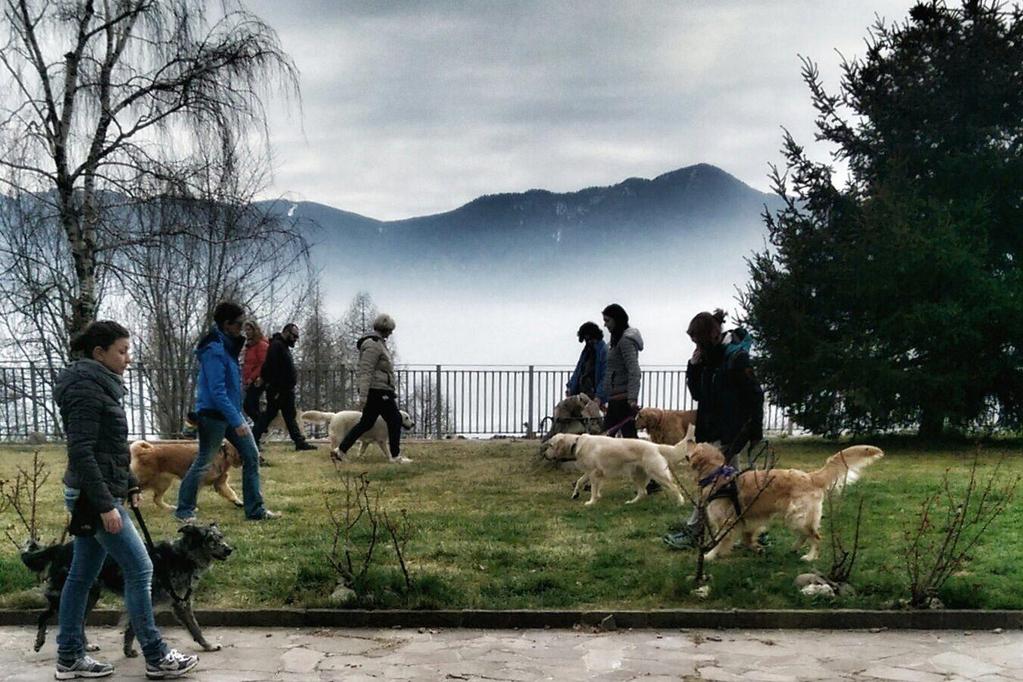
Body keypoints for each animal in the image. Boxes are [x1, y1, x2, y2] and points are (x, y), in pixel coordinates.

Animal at [21, 523, 232, 654]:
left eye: (221, 537)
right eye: (211, 539)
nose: (230, 549)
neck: (183, 556)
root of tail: (60, 548)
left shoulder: (180, 603)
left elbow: (195, 629)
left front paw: (207, 646)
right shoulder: (152, 598)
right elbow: (134, 627)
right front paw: (129, 650)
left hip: (90, 595)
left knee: (78, 622)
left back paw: (86, 647)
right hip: (70, 594)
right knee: (44, 616)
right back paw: (39, 642)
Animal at [544, 435, 687, 509]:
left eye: (550, 445)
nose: (544, 455)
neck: (576, 443)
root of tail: (656, 446)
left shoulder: (594, 473)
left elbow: (593, 490)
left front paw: (591, 502)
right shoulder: (590, 472)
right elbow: (579, 482)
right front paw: (575, 494)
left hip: (657, 474)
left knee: (675, 487)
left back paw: (681, 502)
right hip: (636, 475)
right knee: (643, 492)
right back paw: (631, 503)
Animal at [679, 429, 879, 564]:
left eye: (696, 445)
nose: (690, 438)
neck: (717, 476)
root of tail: (811, 476)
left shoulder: (726, 522)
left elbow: (719, 542)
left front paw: (709, 555)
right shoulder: (746, 519)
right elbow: (747, 536)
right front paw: (755, 547)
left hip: (798, 516)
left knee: (815, 536)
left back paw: (810, 557)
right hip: (793, 517)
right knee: (805, 536)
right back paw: (794, 549)